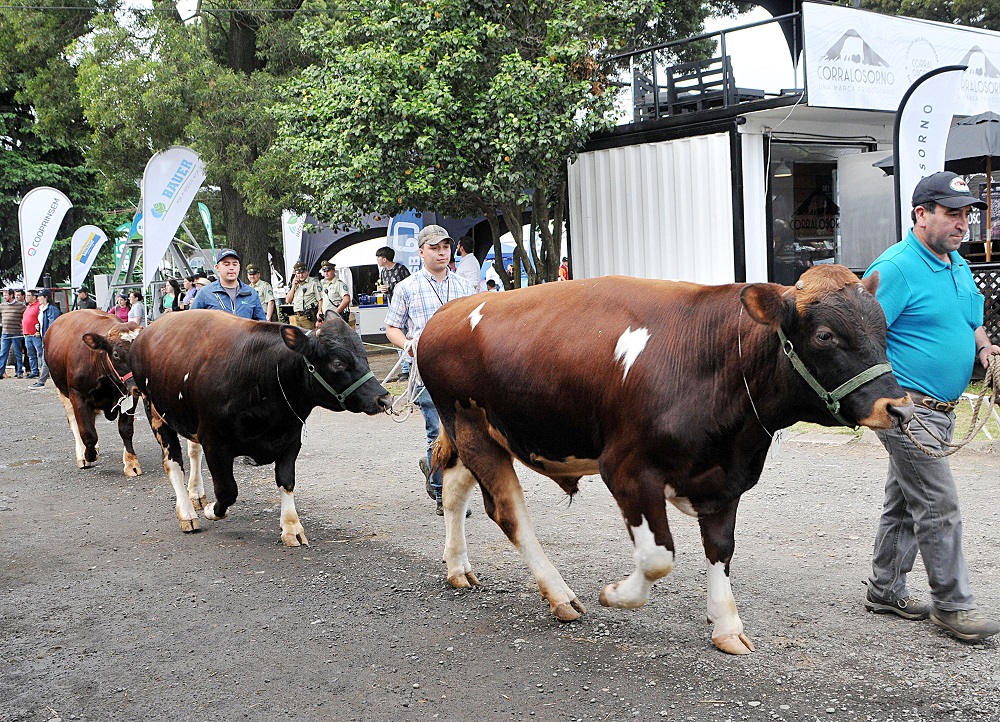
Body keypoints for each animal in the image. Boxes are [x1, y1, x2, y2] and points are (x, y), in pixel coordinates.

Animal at [45, 308, 145, 472]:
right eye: (116, 354)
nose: (140, 385)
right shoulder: (77, 395)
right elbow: (87, 433)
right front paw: (89, 455)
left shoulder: (130, 395)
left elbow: (126, 429)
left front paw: (131, 462)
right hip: (63, 391)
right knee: (74, 421)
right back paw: (82, 453)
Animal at [132, 310, 394, 544]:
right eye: (338, 362)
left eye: (364, 354)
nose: (384, 399)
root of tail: (149, 330)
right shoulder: (215, 443)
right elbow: (227, 491)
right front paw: (210, 511)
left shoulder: (291, 438)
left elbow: (286, 481)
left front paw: (291, 527)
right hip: (154, 410)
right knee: (173, 461)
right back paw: (187, 513)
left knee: (192, 451)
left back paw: (196, 493)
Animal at [418, 264, 916, 652]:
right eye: (826, 335)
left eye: (885, 329)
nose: (899, 408)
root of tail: (448, 312)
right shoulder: (626, 470)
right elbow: (659, 556)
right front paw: (616, 594)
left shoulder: (727, 477)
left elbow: (720, 548)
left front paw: (727, 625)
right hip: (472, 427)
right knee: (508, 514)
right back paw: (561, 596)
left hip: (478, 434)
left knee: (454, 487)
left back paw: (458, 567)